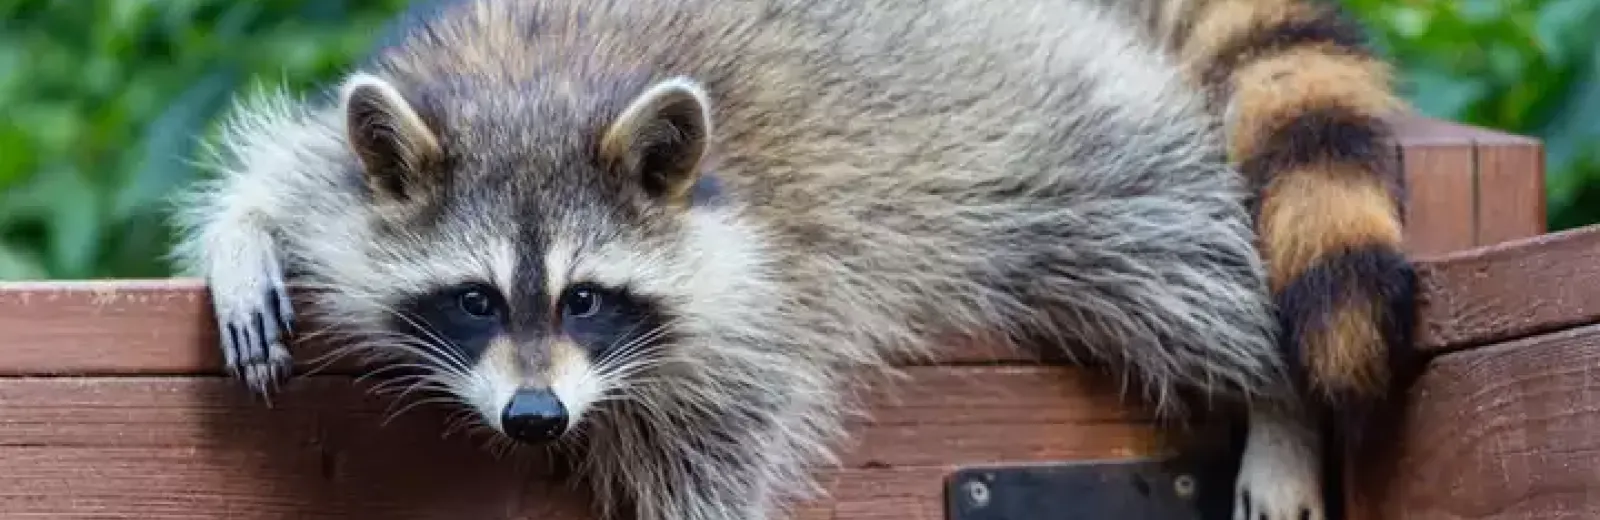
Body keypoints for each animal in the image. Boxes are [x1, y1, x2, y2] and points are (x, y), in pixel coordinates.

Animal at [165, 1, 1414, 518]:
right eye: (472, 299)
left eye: (586, 297)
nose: (532, 419)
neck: (539, 90)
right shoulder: (381, 134)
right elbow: (287, 171)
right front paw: (244, 235)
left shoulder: (758, 303)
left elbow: (722, 450)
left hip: (1058, 136)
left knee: (1177, 265)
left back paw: (1277, 397)